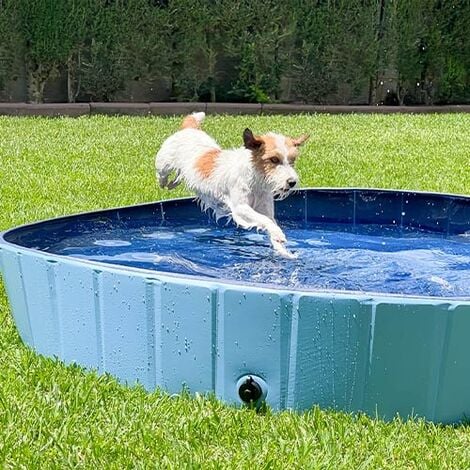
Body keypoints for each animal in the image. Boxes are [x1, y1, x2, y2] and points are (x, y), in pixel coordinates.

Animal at [154, 112, 308, 258]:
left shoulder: (266, 210)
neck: (256, 180)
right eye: (274, 159)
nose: (292, 182)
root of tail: (190, 130)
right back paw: (164, 182)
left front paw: (283, 250)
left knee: (178, 177)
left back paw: (173, 184)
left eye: (292, 160)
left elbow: (269, 223)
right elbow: (265, 220)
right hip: (164, 164)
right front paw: (278, 234)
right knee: (162, 176)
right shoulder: (240, 207)